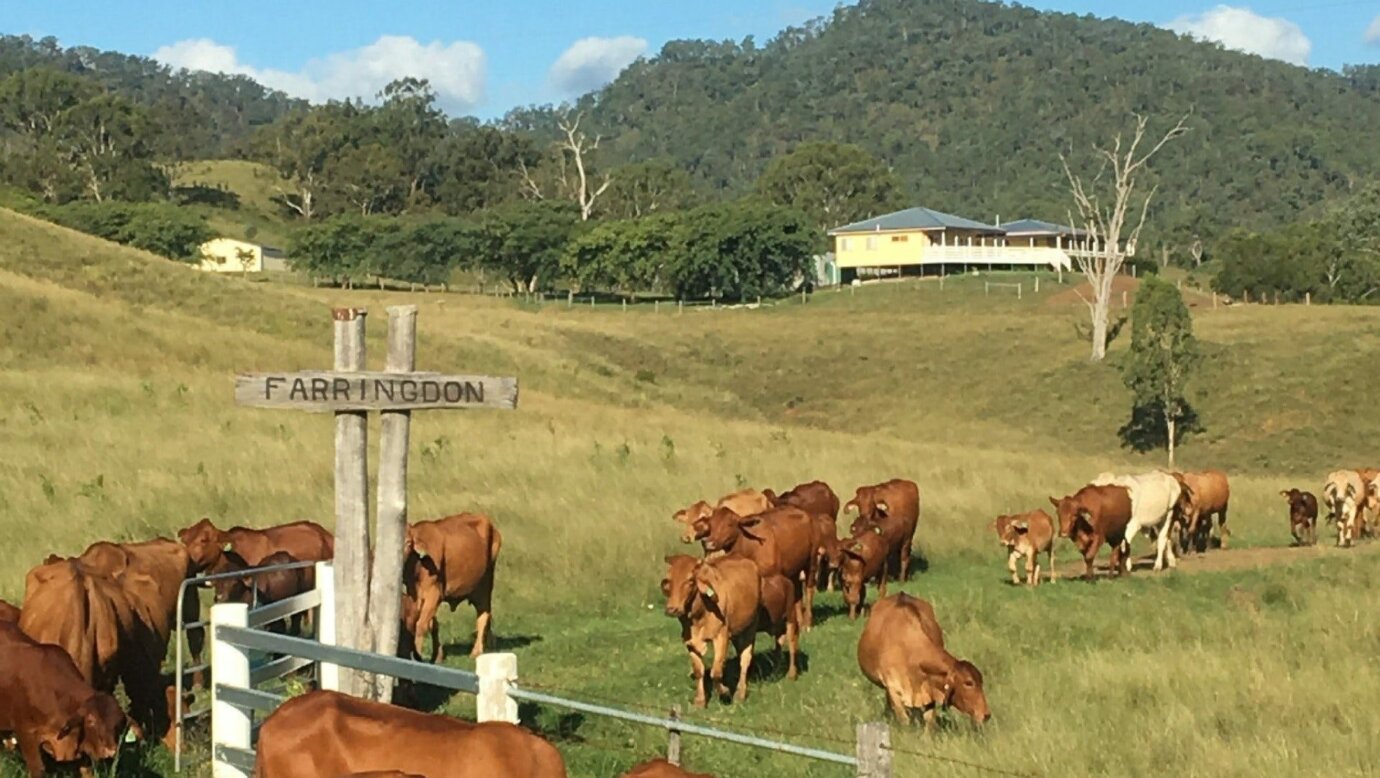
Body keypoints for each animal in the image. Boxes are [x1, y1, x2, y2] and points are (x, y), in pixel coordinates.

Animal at [402, 513, 502, 659]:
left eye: (408, 543)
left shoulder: (434, 594)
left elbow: (421, 625)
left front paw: (418, 654)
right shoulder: (414, 594)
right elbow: (432, 623)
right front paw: (438, 655)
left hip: (485, 585)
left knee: (483, 616)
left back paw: (476, 651)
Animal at [656, 549, 800, 706]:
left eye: (690, 580)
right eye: (669, 581)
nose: (672, 609)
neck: (699, 614)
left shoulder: (721, 637)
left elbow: (716, 672)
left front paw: (724, 691)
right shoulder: (689, 641)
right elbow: (699, 670)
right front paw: (700, 700)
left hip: (773, 623)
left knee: (755, 656)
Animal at [855, 595, 988, 728]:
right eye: (969, 683)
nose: (987, 715)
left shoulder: (930, 689)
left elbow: (930, 720)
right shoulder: (892, 687)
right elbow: (904, 720)